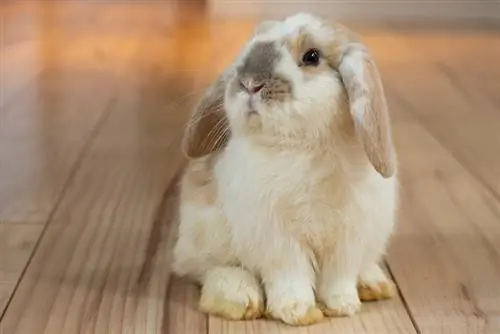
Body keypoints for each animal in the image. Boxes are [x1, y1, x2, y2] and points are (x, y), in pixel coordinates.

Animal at [172, 13, 398, 326]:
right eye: (250, 45)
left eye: (312, 56)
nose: (249, 82)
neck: (304, 147)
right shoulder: (276, 239)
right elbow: (291, 275)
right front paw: (298, 312)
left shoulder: (349, 236)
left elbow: (339, 277)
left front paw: (343, 306)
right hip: (204, 236)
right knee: (210, 269)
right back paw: (240, 298)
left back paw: (374, 284)